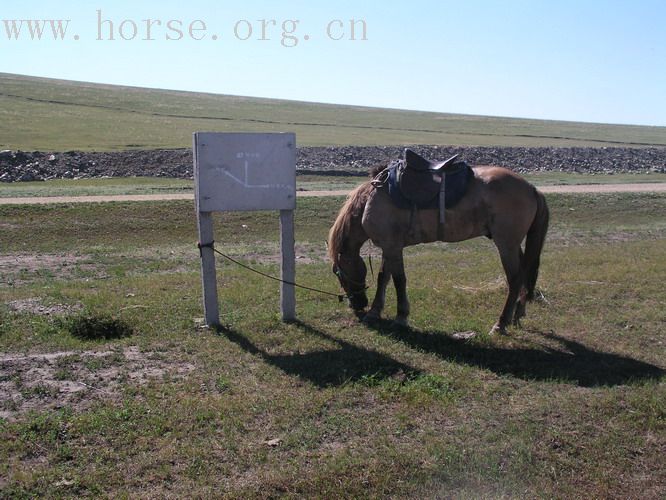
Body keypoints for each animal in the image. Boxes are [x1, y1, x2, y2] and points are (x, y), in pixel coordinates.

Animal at [324, 150, 548, 334]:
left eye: (338, 273)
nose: (356, 305)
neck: (372, 199)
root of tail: (531, 188)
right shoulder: (389, 247)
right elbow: (383, 278)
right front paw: (374, 312)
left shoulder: (393, 247)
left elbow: (399, 280)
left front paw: (401, 317)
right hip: (514, 245)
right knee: (524, 272)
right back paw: (517, 315)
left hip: (506, 245)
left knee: (514, 279)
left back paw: (501, 324)